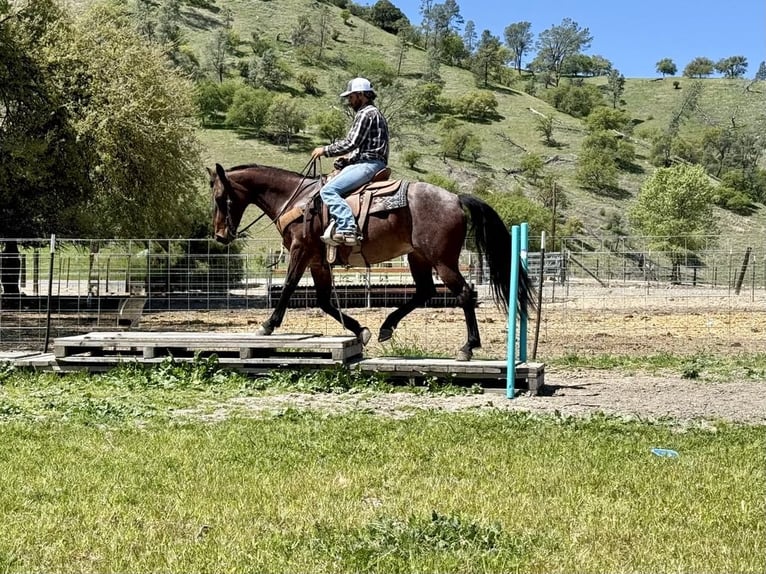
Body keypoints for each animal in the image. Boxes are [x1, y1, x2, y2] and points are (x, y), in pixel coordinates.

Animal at [209, 162, 531, 361]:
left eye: (220, 197)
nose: (220, 235)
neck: (295, 199)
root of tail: (454, 198)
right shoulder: (318, 261)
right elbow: (324, 301)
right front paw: (360, 330)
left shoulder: (301, 250)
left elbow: (288, 286)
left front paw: (267, 326)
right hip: (417, 257)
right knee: (424, 291)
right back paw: (386, 327)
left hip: (443, 260)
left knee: (463, 294)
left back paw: (468, 347)